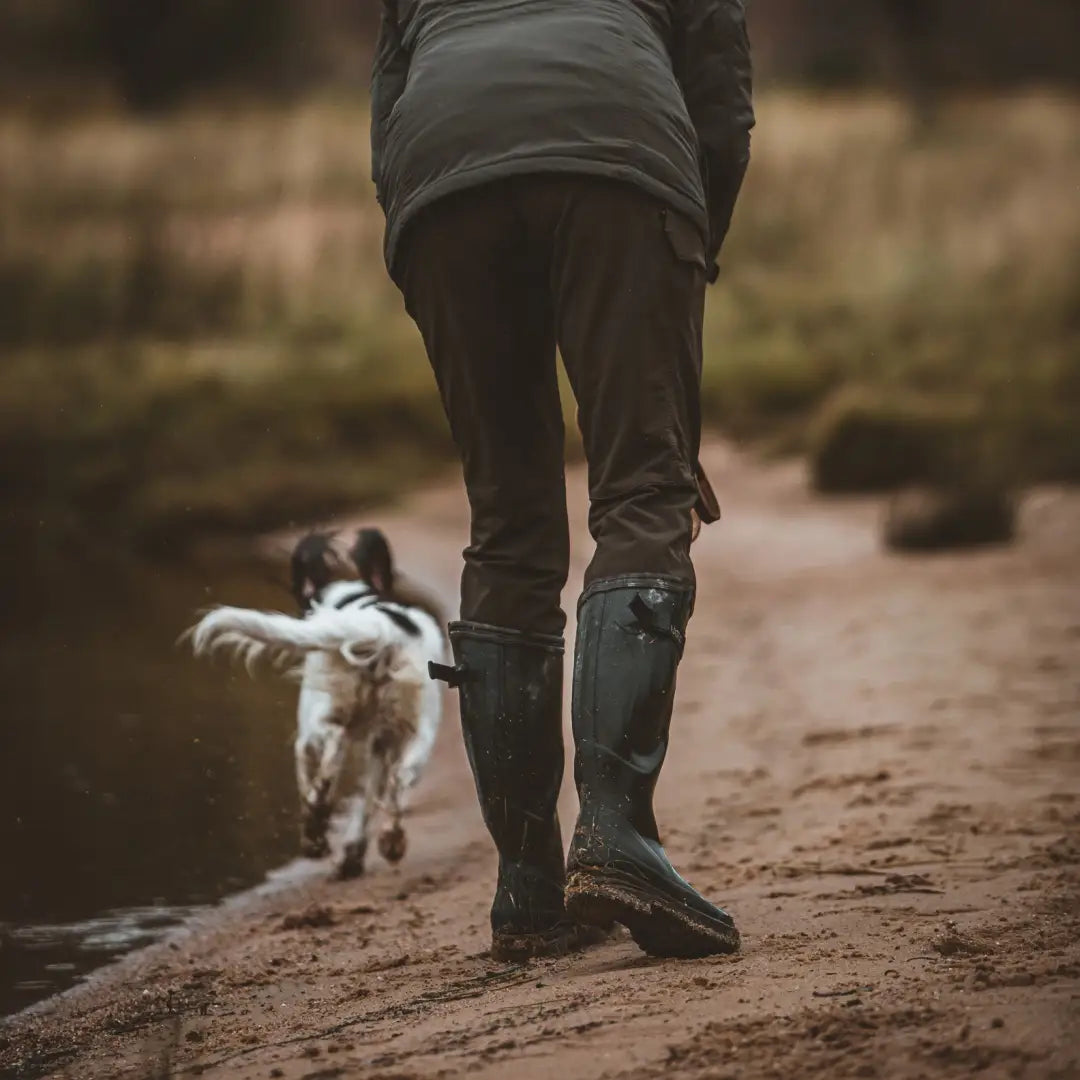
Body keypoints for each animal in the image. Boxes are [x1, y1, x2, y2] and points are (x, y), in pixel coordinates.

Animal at [190, 529, 447, 876]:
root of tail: (377, 627)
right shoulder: (381, 742)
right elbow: (369, 797)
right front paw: (353, 853)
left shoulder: (308, 737)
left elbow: (309, 780)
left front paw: (317, 835)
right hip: (417, 729)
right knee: (399, 779)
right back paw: (390, 840)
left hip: (322, 719)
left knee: (332, 753)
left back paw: (317, 826)